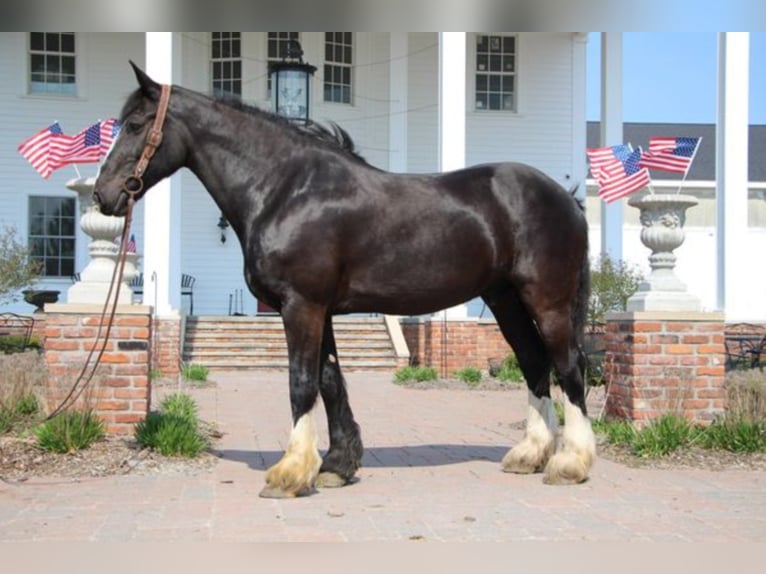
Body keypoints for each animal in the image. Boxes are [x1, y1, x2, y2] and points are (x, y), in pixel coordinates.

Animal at [93, 62, 596, 496]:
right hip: (506, 299)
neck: (286, 189)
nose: (103, 194)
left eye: (135, 124)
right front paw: (336, 466)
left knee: (568, 366)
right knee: (534, 363)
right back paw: (530, 455)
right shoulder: (322, 310)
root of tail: (566, 198)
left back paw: (570, 463)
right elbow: (330, 380)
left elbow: (301, 382)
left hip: (546, 300)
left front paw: (290, 473)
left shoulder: (301, 306)